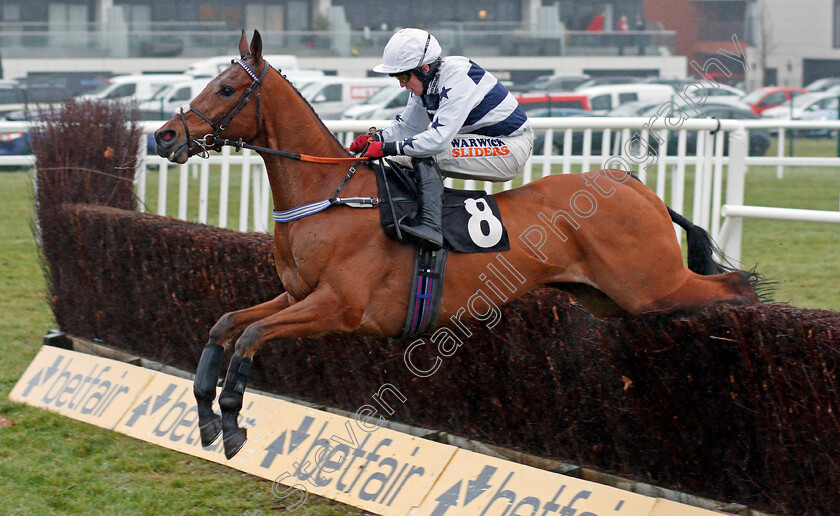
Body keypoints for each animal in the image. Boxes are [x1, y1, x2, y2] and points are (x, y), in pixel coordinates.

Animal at [153, 31, 760, 460]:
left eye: (226, 88)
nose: (165, 135)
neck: (329, 196)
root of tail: (635, 186)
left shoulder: (338, 307)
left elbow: (251, 335)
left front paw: (232, 419)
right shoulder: (297, 295)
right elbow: (225, 324)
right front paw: (205, 414)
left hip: (651, 284)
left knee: (738, 286)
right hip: (608, 298)